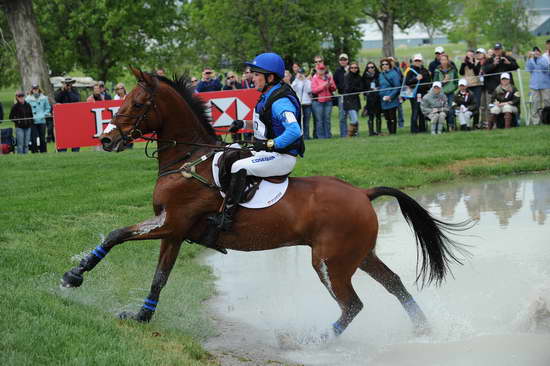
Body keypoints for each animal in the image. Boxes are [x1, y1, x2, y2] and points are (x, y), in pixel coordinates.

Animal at [63, 68, 470, 338]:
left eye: (138, 103)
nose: (107, 140)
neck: (188, 160)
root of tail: (362, 193)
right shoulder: (174, 232)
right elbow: (158, 278)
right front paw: (141, 316)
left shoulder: (171, 223)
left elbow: (116, 234)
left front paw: (74, 275)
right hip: (359, 255)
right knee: (395, 284)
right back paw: (422, 330)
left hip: (329, 263)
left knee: (352, 305)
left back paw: (316, 340)